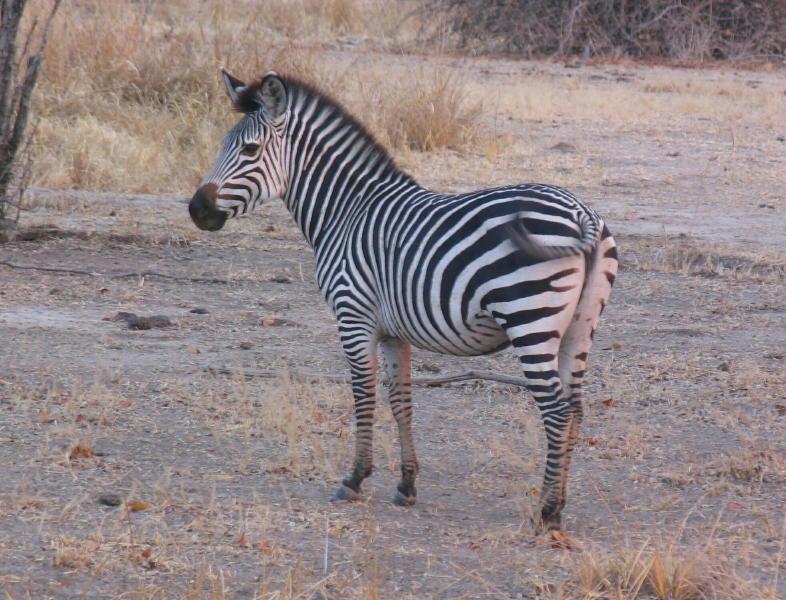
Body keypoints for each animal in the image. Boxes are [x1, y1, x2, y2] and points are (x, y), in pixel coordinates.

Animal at [187, 69, 616, 528]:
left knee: (555, 410)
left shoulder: (353, 315)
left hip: (529, 316)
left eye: (249, 149)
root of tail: (581, 213)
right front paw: (407, 484)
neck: (346, 212)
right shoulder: (395, 331)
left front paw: (355, 478)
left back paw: (547, 511)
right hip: (580, 327)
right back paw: (560, 503)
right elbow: (401, 401)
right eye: (223, 145)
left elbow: (363, 395)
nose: (196, 209)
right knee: (575, 408)